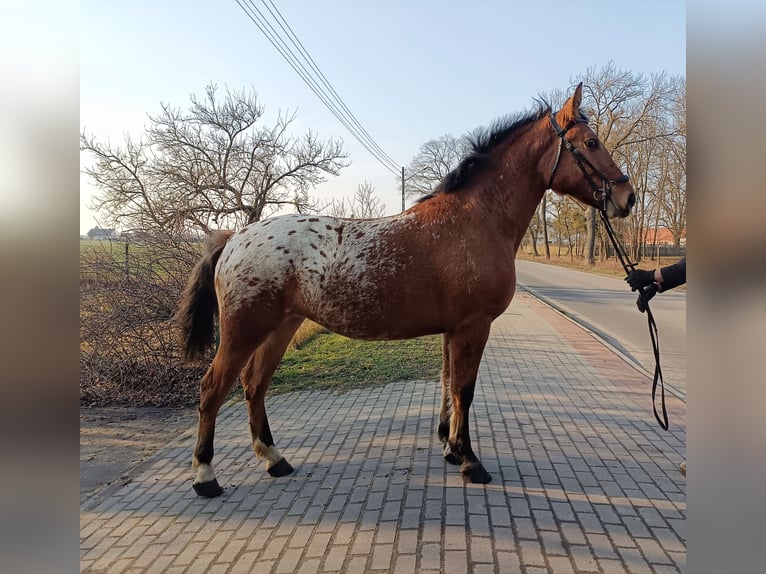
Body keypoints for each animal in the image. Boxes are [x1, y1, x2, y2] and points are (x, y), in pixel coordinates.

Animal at [178, 82, 636, 500]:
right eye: (591, 142)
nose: (626, 196)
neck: (477, 219)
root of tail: (235, 237)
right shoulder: (474, 327)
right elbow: (464, 390)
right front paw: (470, 462)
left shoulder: (455, 330)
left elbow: (448, 383)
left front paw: (451, 449)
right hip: (244, 332)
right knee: (212, 389)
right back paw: (205, 477)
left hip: (281, 328)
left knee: (254, 386)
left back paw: (275, 460)